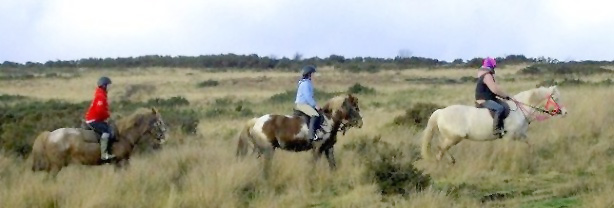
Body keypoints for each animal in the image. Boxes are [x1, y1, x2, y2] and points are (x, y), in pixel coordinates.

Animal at [424, 85, 568, 163]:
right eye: (555, 98)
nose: (565, 112)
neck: (519, 110)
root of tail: (440, 112)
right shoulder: (508, 137)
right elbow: (506, 151)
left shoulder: (520, 135)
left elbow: (530, 144)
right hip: (454, 138)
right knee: (440, 148)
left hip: (451, 138)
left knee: (442, 148)